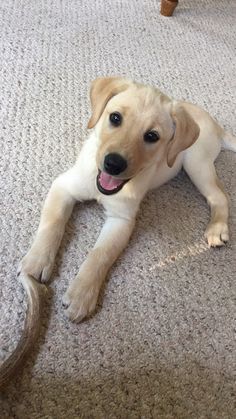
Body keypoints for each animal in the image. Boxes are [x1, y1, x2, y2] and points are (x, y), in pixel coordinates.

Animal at [0, 78, 235, 388]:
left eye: (152, 136)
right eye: (114, 118)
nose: (113, 163)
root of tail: (216, 125)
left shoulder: (121, 221)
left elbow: (100, 255)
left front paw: (82, 294)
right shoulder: (64, 186)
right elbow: (52, 223)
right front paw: (37, 261)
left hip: (196, 163)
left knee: (219, 197)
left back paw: (217, 228)